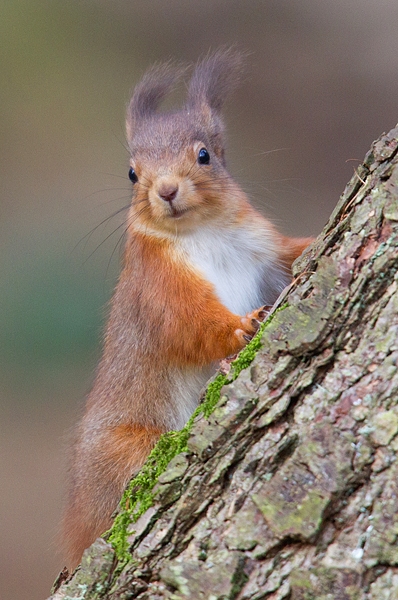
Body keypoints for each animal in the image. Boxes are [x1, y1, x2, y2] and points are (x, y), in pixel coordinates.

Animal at [62, 50, 312, 568]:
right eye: (132, 173)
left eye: (204, 155)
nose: (166, 189)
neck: (203, 232)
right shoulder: (157, 287)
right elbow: (187, 324)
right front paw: (241, 328)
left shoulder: (263, 252)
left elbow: (291, 255)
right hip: (127, 450)